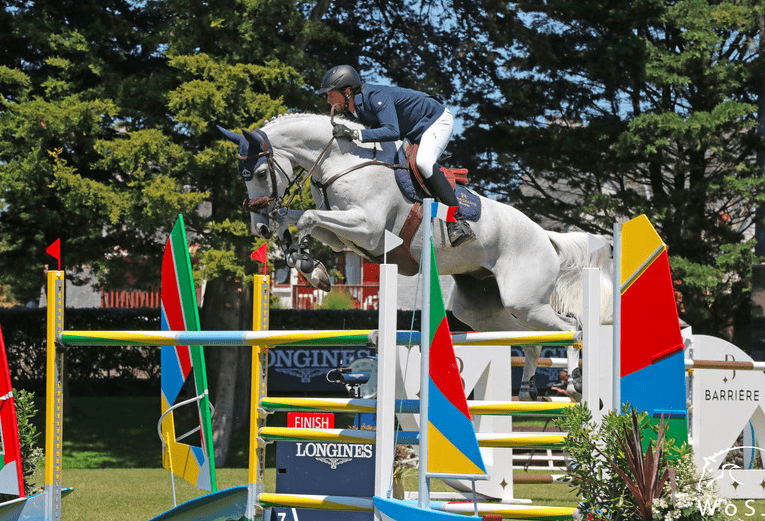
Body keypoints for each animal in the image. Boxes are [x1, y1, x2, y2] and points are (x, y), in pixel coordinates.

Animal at [218, 114, 612, 398]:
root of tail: (545, 236)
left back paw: (575, 383)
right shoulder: (346, 238)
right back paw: (530, 388)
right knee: (528, 339)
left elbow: (308, 219)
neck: (342, 163)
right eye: (242, 175)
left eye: (258, 172)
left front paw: (304, 260)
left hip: (525, 299)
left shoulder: (368, 228)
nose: (259, 227)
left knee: (572, 328)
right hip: (481, 310)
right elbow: (301, 220)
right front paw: (309, 266)